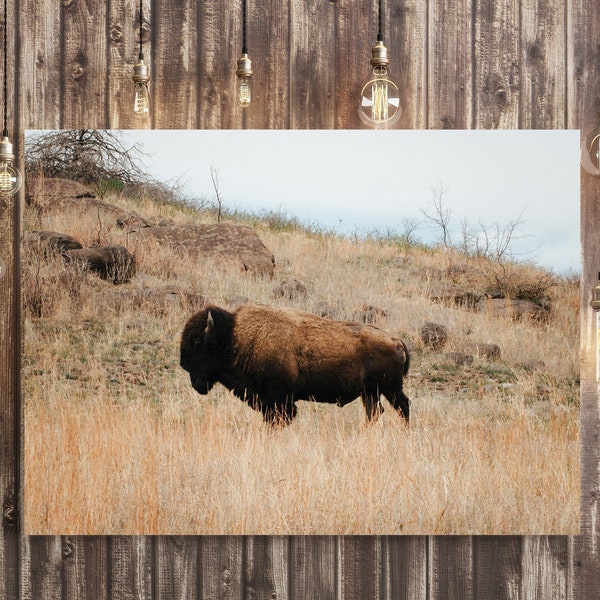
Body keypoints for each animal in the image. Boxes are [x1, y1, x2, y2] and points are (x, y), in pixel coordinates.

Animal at [180, 304, 410, 426]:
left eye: (198, 340)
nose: (183, 363)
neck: (234, 337)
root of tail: (395, 340)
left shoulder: (279, 398)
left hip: (389, 388)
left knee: (403, 406)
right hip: (370, 391)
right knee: (375, 412)